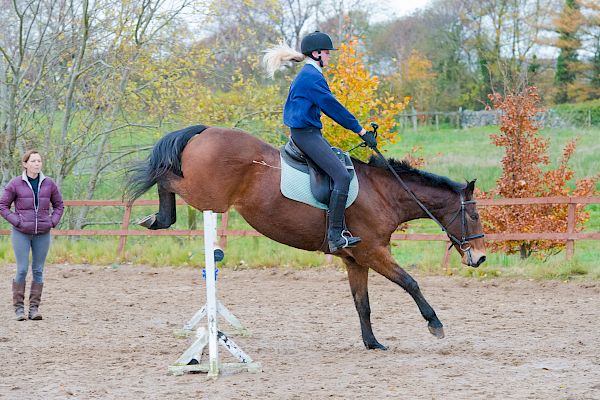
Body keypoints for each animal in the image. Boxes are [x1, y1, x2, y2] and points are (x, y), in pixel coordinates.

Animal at [124, 125, 486, 350]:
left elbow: (363, 304)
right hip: (204, 195)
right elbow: (411, 282)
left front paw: (372, 342)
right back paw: (158, 218)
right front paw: (435, 324)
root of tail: (204, 131)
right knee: (165, 177)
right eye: (474, 215)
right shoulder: (373, 252)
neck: (383, 193)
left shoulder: (355, 260)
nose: (480, 257)